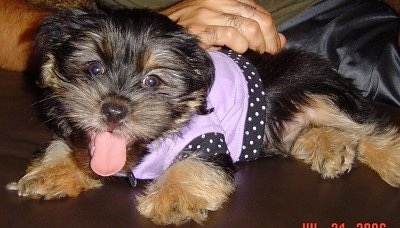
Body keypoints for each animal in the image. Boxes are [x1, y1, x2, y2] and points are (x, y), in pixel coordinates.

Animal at [5, 8, 400, 225]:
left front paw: (173, 196)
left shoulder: (208, 137)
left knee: (367, 128)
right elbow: (68, 146)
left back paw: (387, 158)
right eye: (94, 69)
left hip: (315, 89)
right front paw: (49, 173)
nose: (113, 109)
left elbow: (196, 162)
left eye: (153, 81)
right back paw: (331, 148)